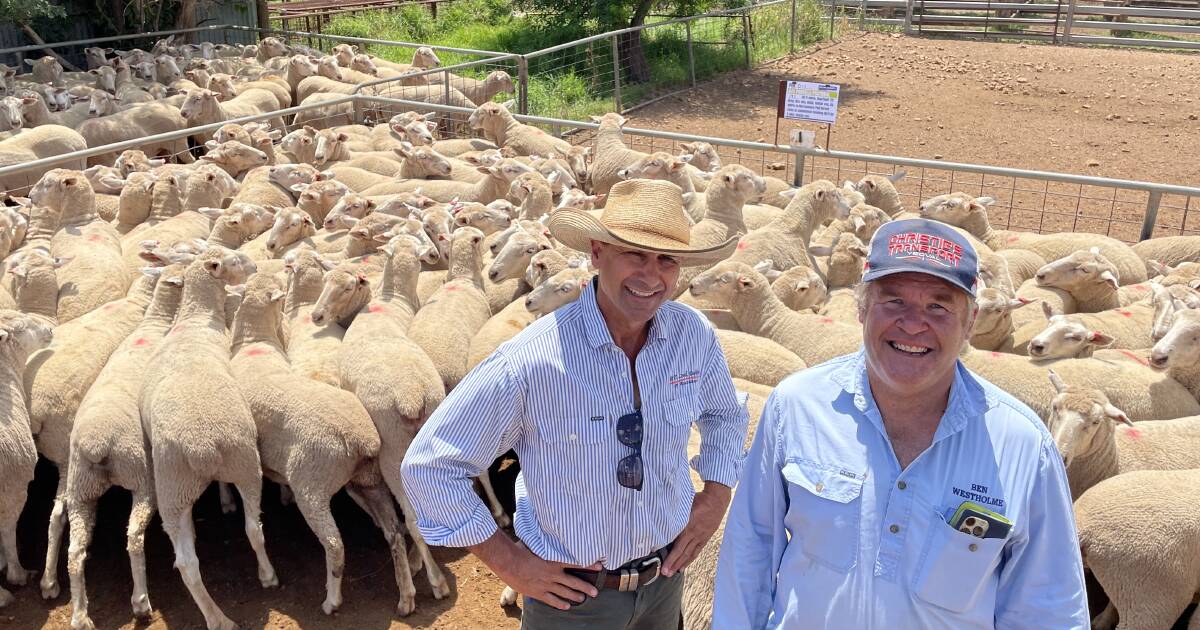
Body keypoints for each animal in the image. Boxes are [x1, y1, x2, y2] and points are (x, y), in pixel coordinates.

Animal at [138, 244, 276, 628]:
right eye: (233, 259)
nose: (255, 265)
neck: (195, 320)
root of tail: (203, 447)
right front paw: (226, 500)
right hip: (229, 468)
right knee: (244, 533)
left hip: (207, 478)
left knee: (201, 555)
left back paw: (225, 612)